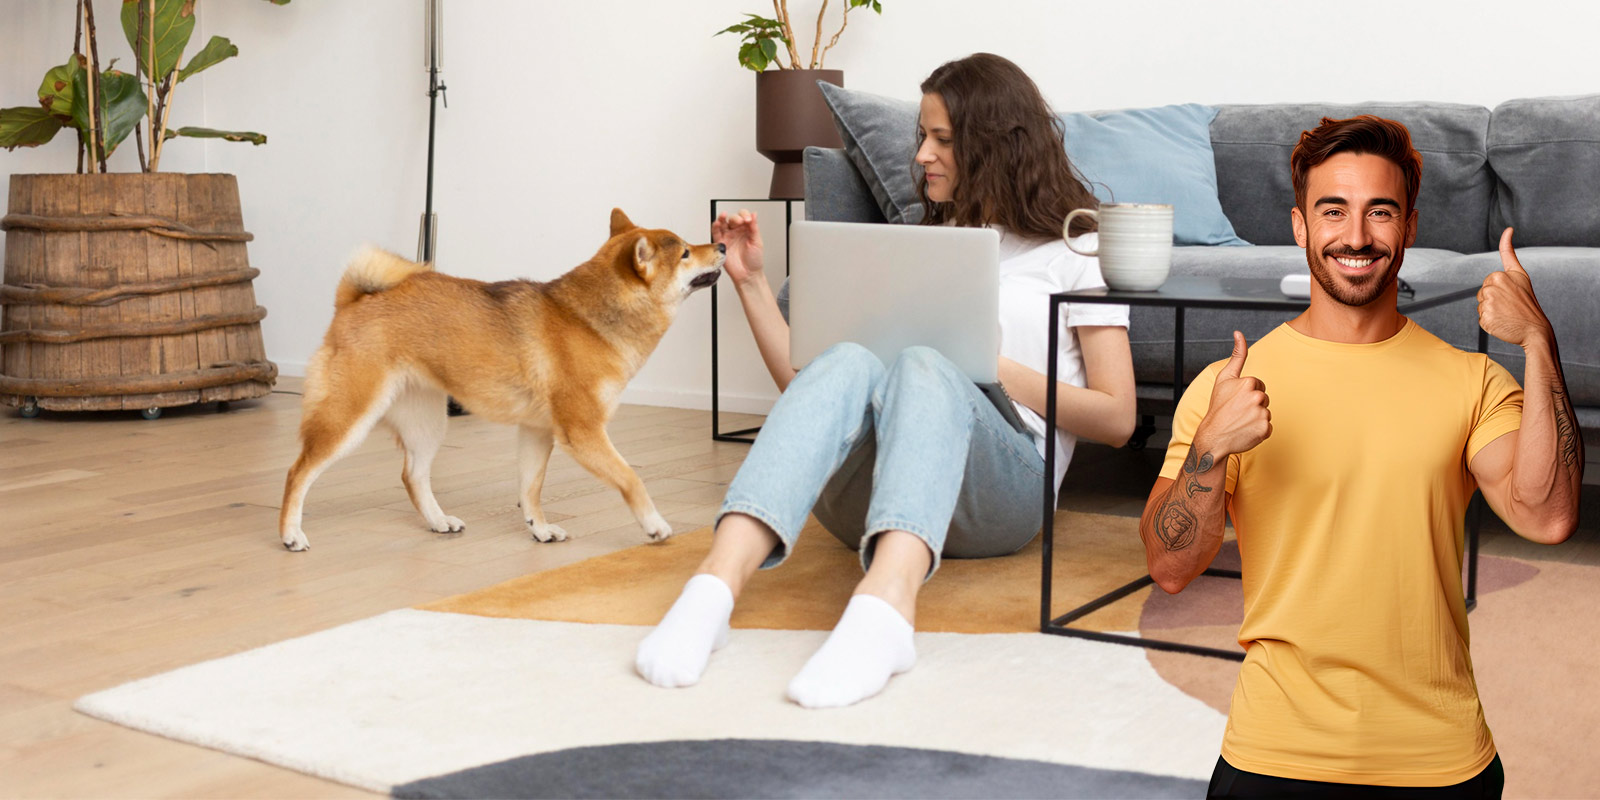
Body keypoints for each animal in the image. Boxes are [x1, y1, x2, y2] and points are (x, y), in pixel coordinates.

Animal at [276, 209, 726, 553]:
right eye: (686, 252)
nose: (721, 246)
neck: (588, 321)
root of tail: (355, 300)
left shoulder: (537, 431)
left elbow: (530, 490)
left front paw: (539, 529)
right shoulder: (582, 432)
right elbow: (631, 478)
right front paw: (654, 525)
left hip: (427, 423)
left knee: (413, 476)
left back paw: (439, 520)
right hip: (348, 418)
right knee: (298, 472)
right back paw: (291, 534)